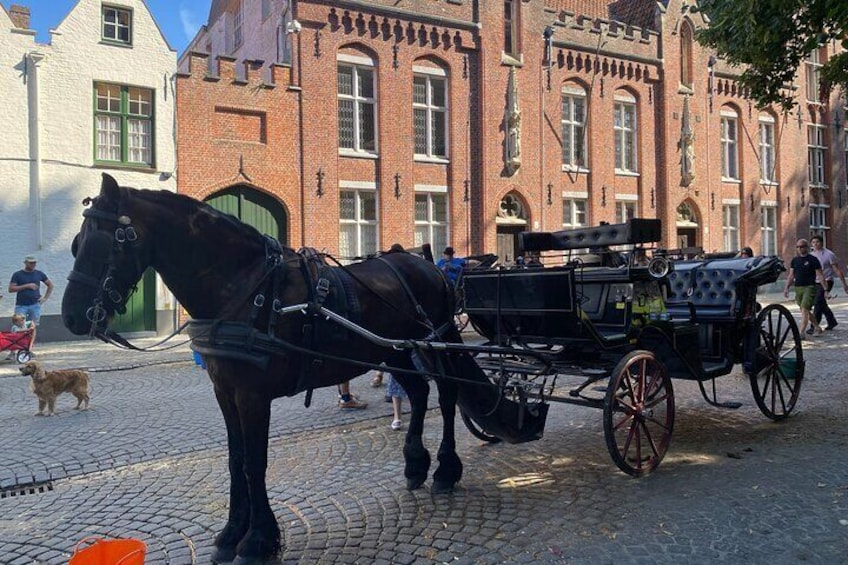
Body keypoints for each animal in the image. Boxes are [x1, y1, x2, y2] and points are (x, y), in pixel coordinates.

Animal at [63, 174, 548, 560]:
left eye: (105, 243)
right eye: (75, 243)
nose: (70, 317)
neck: (245, 286)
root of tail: (425, 263)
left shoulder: (253, 396)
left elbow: (254, 463)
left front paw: (258, 541)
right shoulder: (225, 392)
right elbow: (235, 461)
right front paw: (230, 535)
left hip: (436, 342)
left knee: (445, 398)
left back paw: (445, 470)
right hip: (393, 351)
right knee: (418, 394)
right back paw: (414, 465)